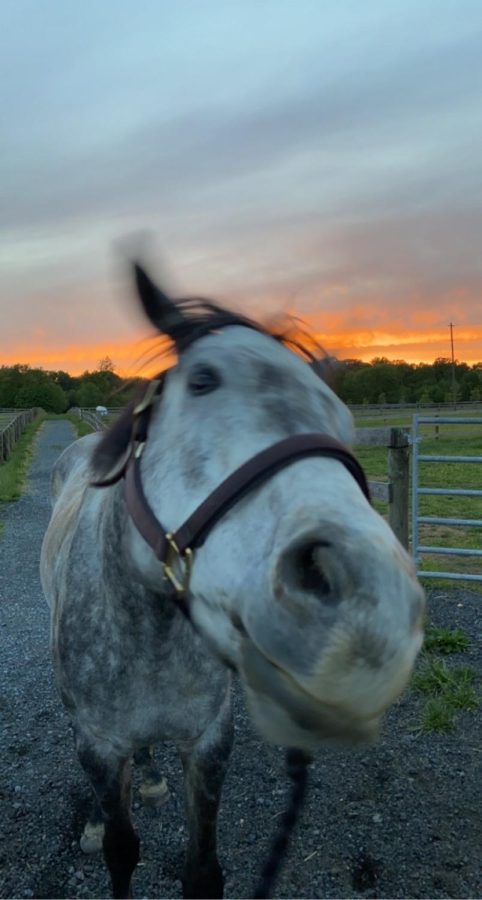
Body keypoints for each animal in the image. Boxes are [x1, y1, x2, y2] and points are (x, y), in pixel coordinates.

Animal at [42, 262, 426, 900]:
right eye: (202, 381)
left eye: (342, 418)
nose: (374, 600)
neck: (150, 636)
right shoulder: (98, 743)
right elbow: (122, 850)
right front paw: (105, 828)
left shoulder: (209, 741)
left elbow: (203, 870)